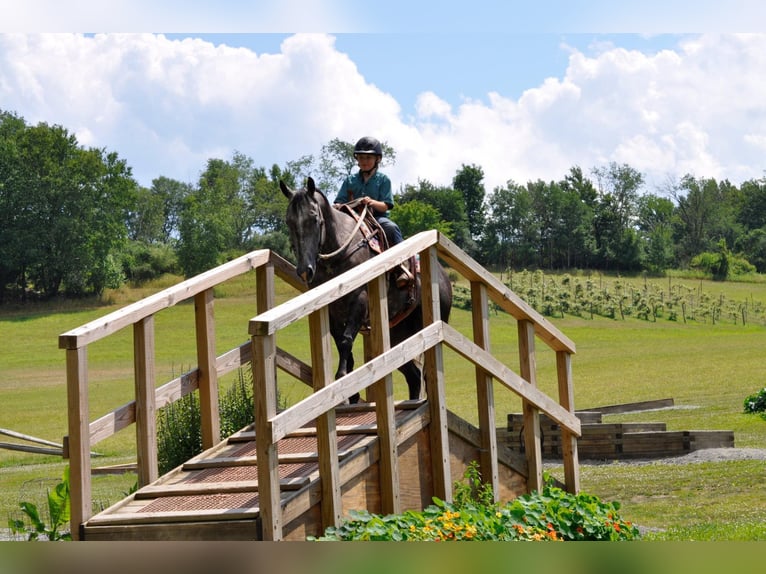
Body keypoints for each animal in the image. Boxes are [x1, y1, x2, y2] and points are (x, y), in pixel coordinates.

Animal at [280, 178, 450, 402]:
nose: (304, 270)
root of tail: (443, 276)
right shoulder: (332, 311)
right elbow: (342, 345)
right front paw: (351, 393)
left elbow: (346, 341)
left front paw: (342, 377)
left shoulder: (359, 301)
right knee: (413, 376)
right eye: (289, 222)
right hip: (397, 335)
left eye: (314, 218)